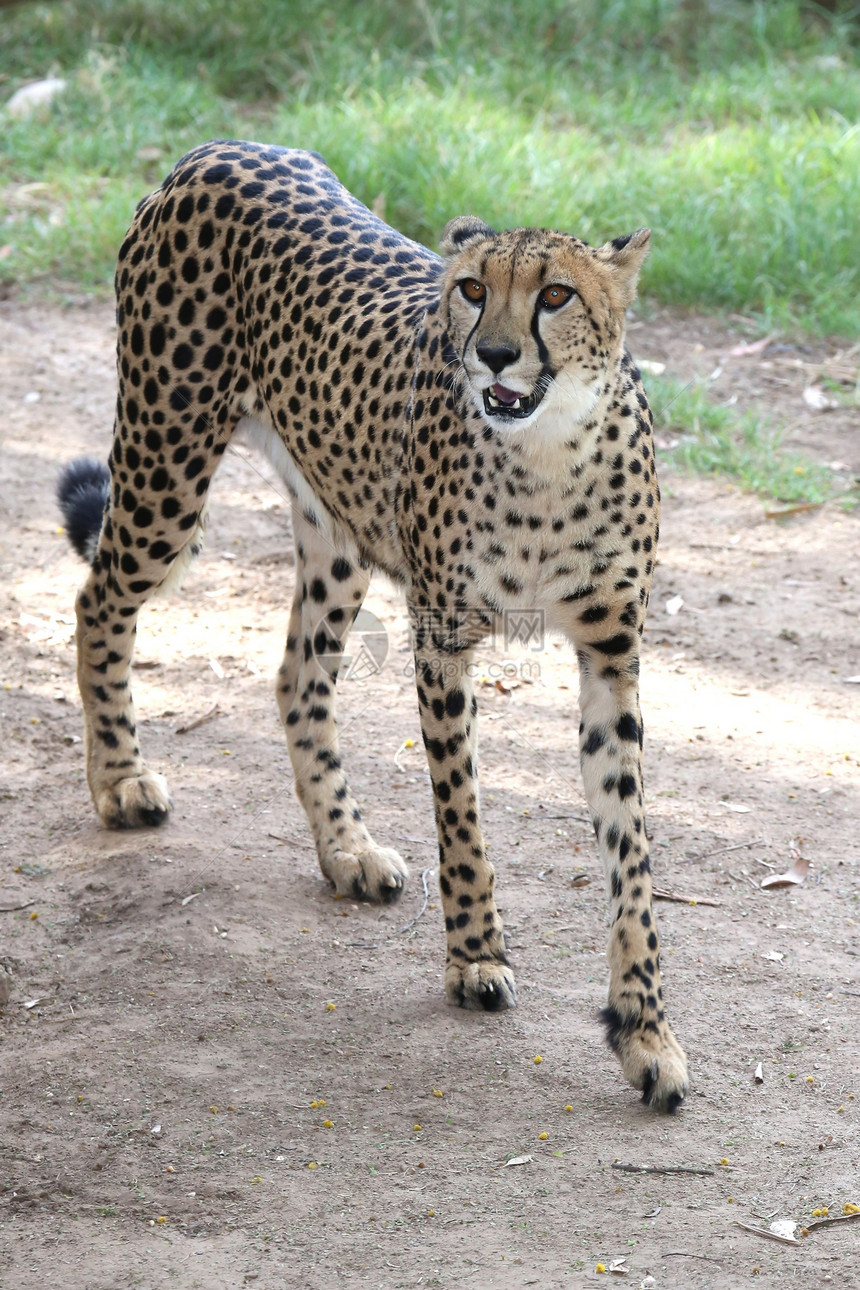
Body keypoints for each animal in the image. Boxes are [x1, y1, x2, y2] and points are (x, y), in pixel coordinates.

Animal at [57, 138, 691, 1109]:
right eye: (470, 288)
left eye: (556, 294)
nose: (495, 355)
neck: (547, 457)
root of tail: (220, 147)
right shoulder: (442, 642)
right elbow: (462, 818)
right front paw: (476, 958)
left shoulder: (612, 654)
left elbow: (632, 857)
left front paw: (645, 1032)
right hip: (168, 467)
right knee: (100, 602)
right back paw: (121, 782)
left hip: (338, 528)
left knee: (296, 674)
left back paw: (346, 848)